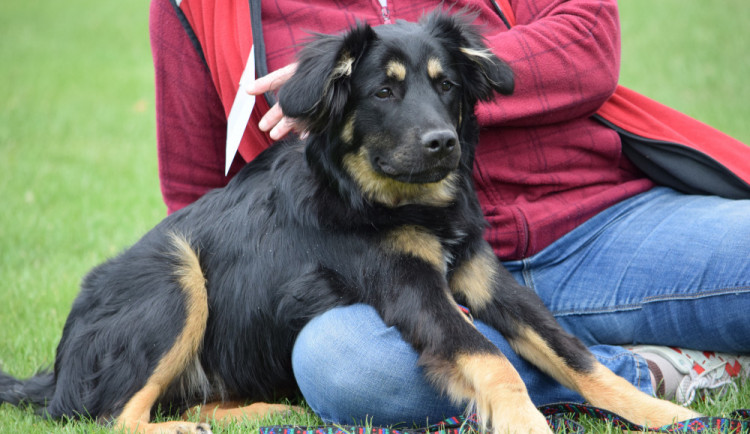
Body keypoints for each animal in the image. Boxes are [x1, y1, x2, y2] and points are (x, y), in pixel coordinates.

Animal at [2, 11, 704, 432]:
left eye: (446, 85)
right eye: (384, 91)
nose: (444, 143)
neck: (390, 198)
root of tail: (57, 372)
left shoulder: (481, 277)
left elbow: (572, 352)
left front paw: (656, 412)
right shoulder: (409, 286)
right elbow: (489, 356)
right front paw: (526, 420)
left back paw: (256, 411)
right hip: (175, 275)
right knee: (109, 415)